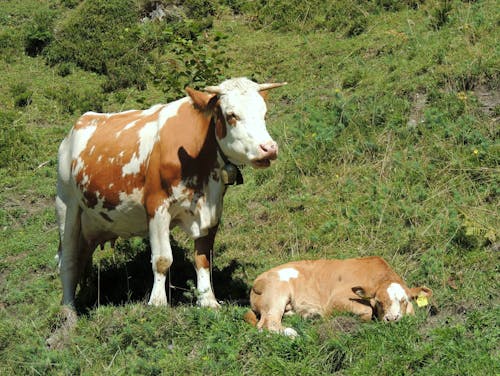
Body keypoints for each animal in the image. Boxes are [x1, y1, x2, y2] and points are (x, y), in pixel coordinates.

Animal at [54, 78, 286, 316]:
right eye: (231, 115)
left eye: (264, 113)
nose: (269, 148)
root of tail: (80, 122)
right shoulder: (157, 206)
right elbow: (163, 259)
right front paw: (157, 302)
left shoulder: (213, 210)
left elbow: (203, 258)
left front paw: (207, 300)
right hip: (66, 204)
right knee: (68, 260)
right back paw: (69, 309)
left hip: (93, 224)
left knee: (82, 259)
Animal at [244, 256, 432, 338]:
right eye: (378, 302)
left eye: (404, 300)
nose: (392, 319)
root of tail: (258, 279)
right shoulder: (336, 300)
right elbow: (366, 311)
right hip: (277, 293)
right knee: (268, 324)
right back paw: (293, 332)